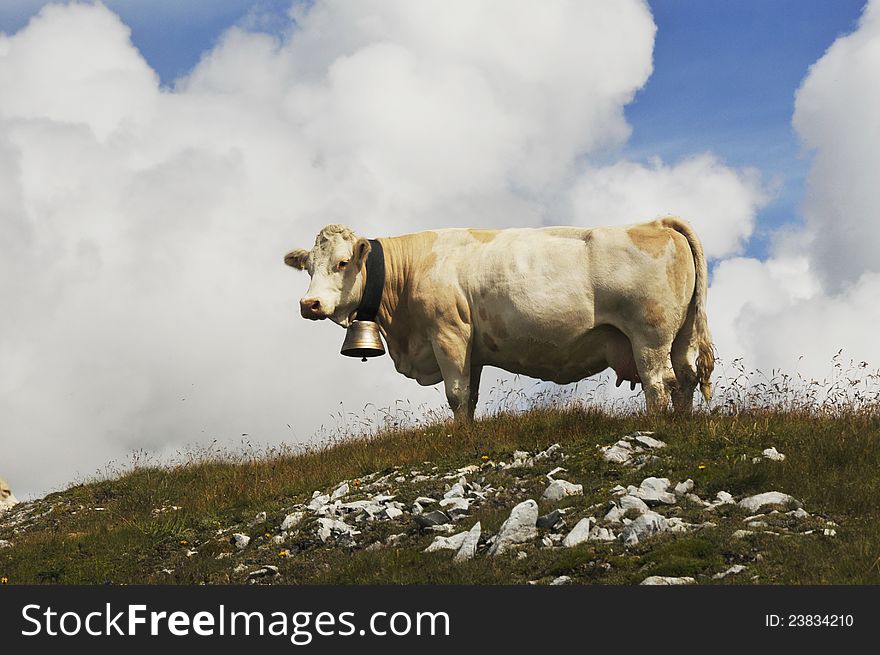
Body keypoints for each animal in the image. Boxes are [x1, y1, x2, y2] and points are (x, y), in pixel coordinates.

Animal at [288, 218, 716, 422]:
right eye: (308, 266)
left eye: (343, 262)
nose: (309, 304)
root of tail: (655, 222)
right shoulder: (471, 349)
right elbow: (470, 396)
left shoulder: (448, 334)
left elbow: (456, 395)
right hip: (679, 336)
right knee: (685, 379)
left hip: (650, 336)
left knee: (659, 384)